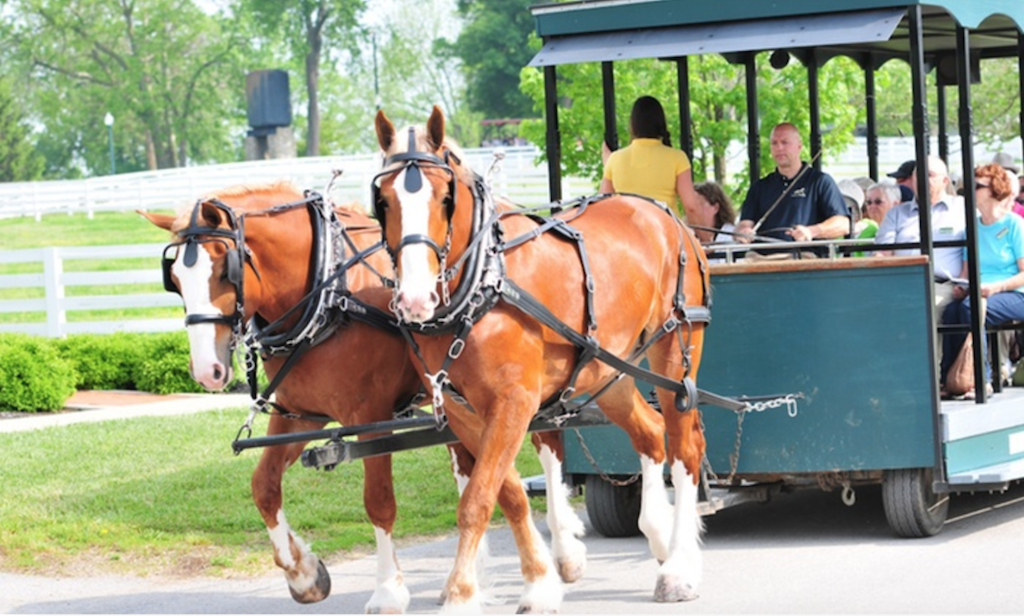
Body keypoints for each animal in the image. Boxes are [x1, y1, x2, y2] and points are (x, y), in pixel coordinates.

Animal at [141, 180, 585, 609]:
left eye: (224, 271)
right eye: (174, 280)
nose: (207, 372)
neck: (328, 293)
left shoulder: (371, 417)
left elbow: (379, 502)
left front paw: (388, 590)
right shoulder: (299, 415)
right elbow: (263, 486)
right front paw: (303, 573)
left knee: (548, 450)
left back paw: (564, 551)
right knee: (470, 468)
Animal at [374, 106, 712, 609]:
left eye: (445, 197)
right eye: (383, 201)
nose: (415, 299)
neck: (484, 281)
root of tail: (665, 215)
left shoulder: (513, 402)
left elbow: (477, 499)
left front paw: (463, 592)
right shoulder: (464, 411)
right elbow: (507, 494)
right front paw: (538, 580)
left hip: (675, 350)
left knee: (685, 447)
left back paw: (679, 568)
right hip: (606, 370)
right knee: (651, 433)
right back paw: (657, 534)